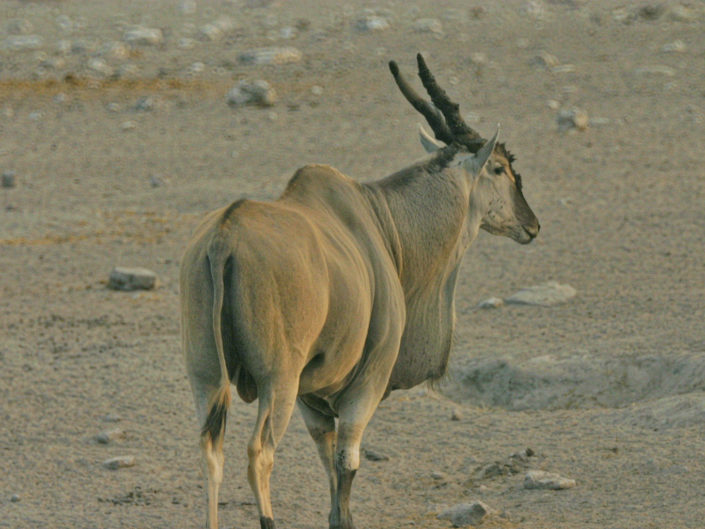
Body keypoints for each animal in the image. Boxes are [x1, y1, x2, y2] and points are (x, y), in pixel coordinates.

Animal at [180, 53, 540, 528]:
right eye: (499, 169)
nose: (532, 225)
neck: (381, 218)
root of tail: (223, 237)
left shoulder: (313, 402)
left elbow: (329, 463)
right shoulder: (362, 387)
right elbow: (346, 465)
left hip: (206, 377)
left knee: (210, 451)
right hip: (277, 381)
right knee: (259, 454)